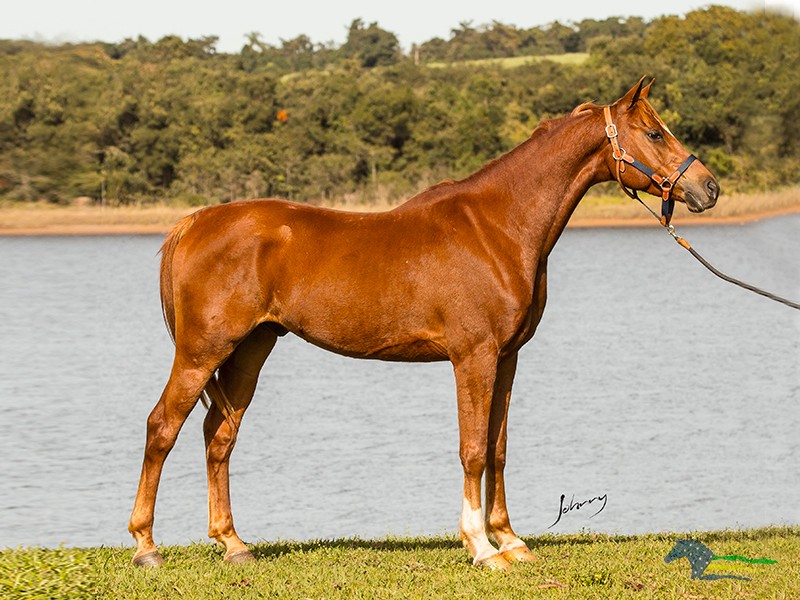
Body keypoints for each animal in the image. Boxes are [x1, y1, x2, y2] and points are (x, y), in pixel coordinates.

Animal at [130, 77, 720, 568]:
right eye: (654, 132)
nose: (708, 188)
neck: (498, 227)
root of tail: (194, 222)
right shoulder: (473, 356)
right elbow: (472, 448)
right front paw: (482, 547)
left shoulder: (507, 357)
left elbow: (498, 447)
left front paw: (511, 540)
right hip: (202, 351)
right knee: (163, 427)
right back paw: (146, 547)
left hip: (251, 349)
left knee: (218, 435)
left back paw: (233, 544)